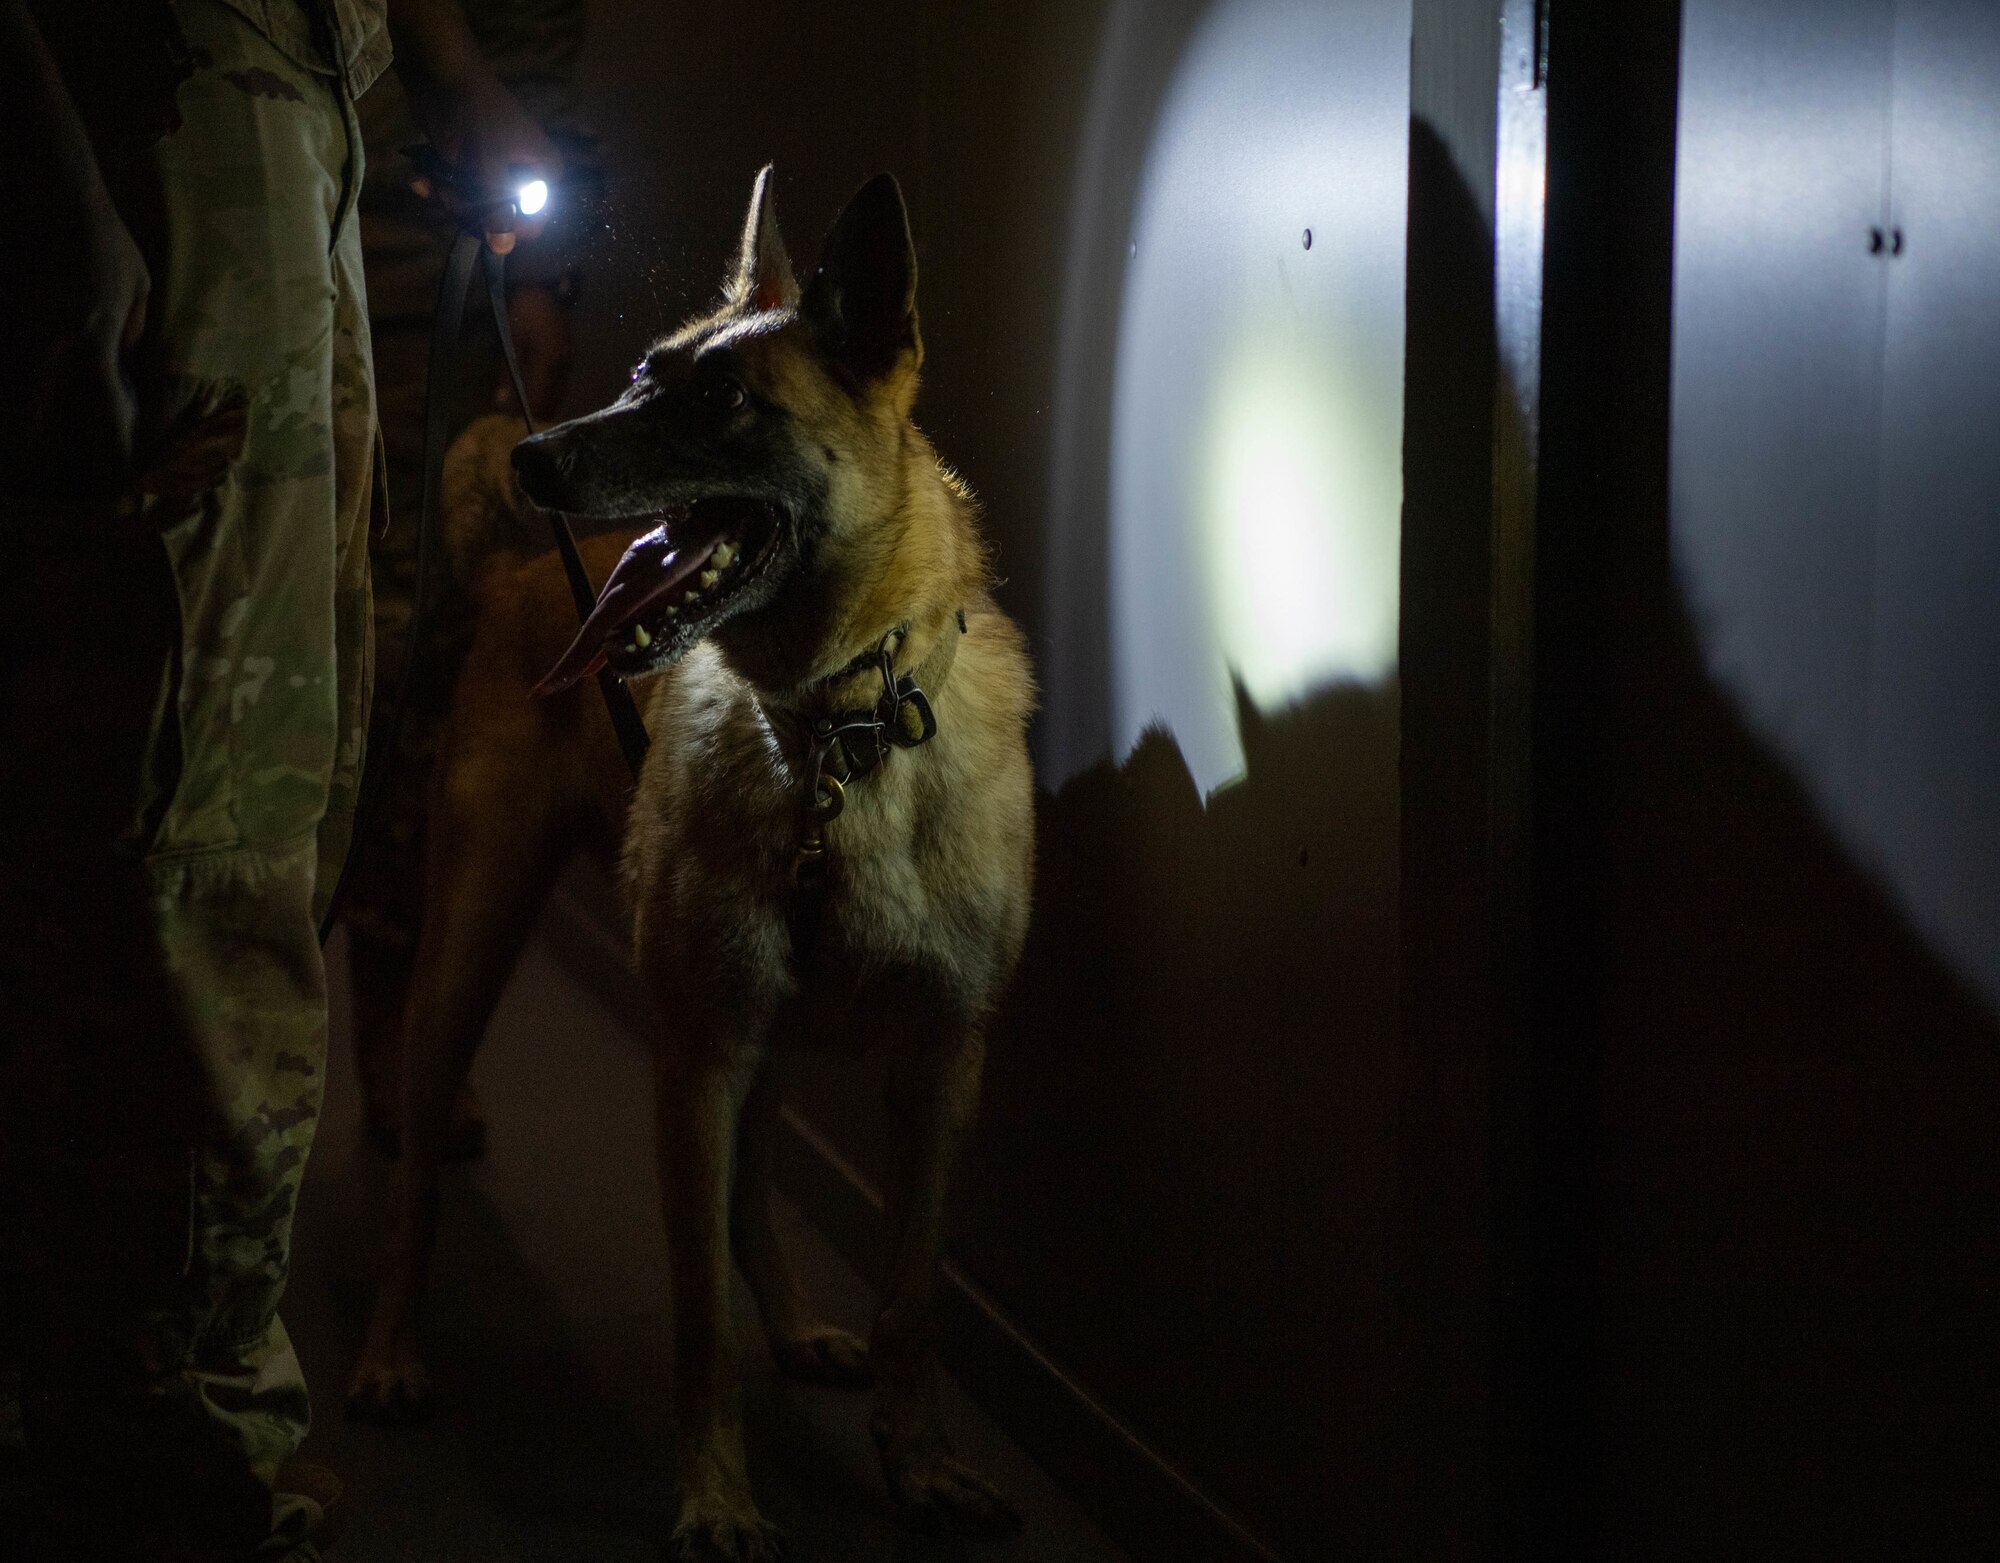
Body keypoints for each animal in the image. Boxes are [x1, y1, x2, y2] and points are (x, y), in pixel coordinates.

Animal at [348, 164, 1032, 1559]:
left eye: (720, 401)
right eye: (638, 376)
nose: (532, 456)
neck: (834, 738)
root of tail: (519, 564)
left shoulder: (941, 1062)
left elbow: (910, 1299)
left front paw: (920, 1462)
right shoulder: (697, 1054)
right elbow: (696, 1313)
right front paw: (716, 1495)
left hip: (755, 1034)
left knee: (752, 1191)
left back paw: (799, 1322)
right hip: (471, 954)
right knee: (416, 1183)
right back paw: (390, 1347)